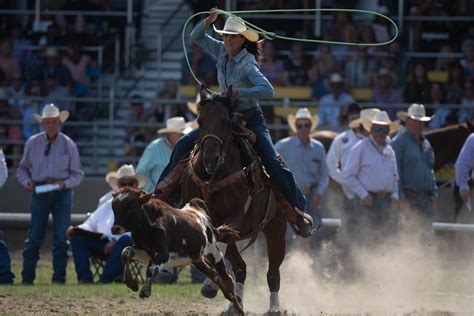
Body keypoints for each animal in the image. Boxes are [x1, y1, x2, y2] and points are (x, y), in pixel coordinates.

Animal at [177, 86, 286, 314]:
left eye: (226, 121)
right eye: (199, 120)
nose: (211, 160)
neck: (214, 177)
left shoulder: (235, 217)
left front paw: (210, 284)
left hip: (276, 229)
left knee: (273, 271)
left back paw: (274, 307)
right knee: (240, 267)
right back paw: (236, 302)